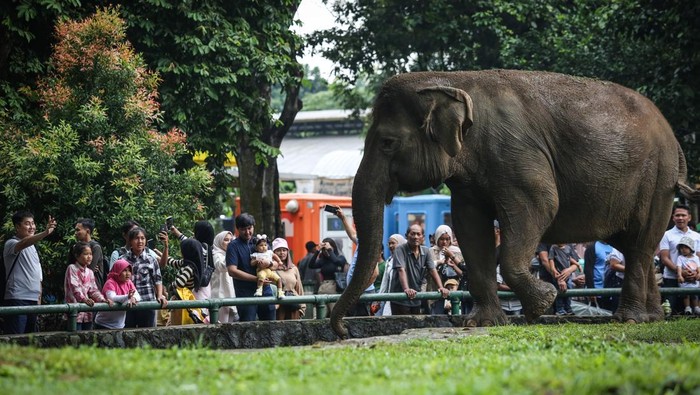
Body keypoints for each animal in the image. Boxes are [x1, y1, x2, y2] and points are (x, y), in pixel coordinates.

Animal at [330, 69, 696, 338]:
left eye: (388, 142)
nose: (344, 331)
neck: (451, 80)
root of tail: (676, 142)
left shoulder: (516, 154)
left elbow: (540, 205)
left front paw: (543, 302)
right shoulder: (469, 179)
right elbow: (469, 227)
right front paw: (481, 323)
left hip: (657, 180)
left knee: (640, 243)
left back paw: (630, 319)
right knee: (636, 247)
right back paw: (651, 317)